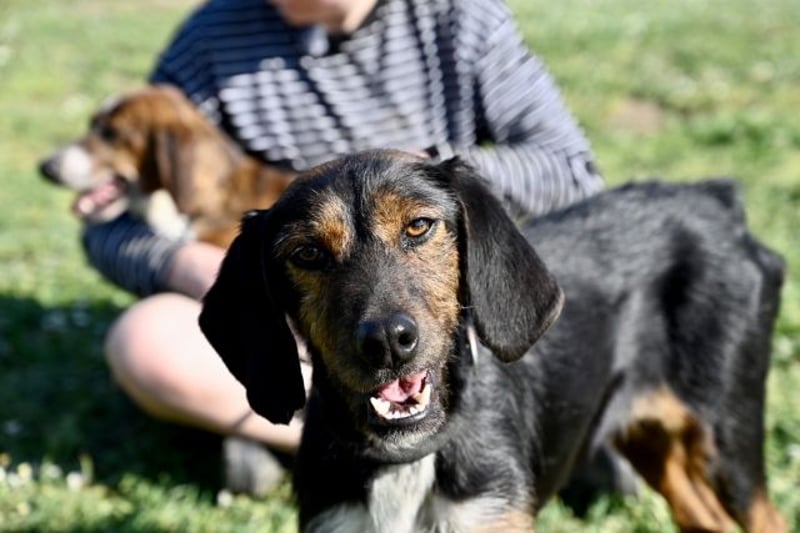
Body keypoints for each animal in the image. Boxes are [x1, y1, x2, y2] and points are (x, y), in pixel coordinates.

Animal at [199, 150, 787, 532]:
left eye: (419, 226)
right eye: (307, 254)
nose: (388, 341)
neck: (407, 459)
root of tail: (715, 200)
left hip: (729, 432)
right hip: (648, 436)